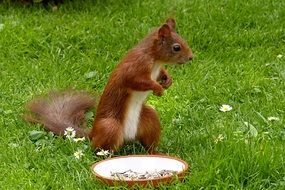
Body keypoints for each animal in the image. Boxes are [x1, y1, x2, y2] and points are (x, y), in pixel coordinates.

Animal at [25, 18, 192, 154]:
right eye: (176, 47)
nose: (191, 57)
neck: (155, 59)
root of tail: (93, 133)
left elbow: (161, 74)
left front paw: (168, 80)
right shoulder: (134, 68)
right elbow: (137, 81)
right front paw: (157, 88)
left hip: (149, 120)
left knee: (149, 141)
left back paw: (155, 153)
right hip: (110, 126)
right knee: (99, 148)